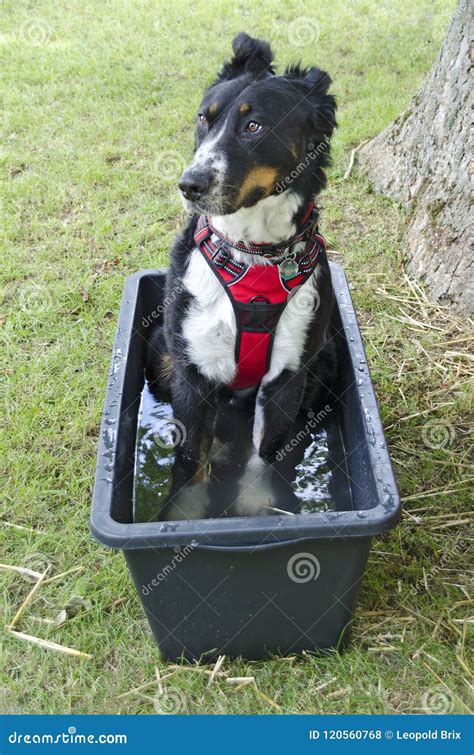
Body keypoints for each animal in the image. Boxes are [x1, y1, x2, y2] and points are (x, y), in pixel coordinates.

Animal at [147, 31, 336, 512]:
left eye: (254, 127)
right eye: (204, 118)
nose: (189, 185)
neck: (253, 255)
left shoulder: (288, 376)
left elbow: (264, 457)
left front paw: (256, 507)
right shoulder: (193, 371)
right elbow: (191, 463)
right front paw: (188, 513)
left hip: (322, 361)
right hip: (162, 350)